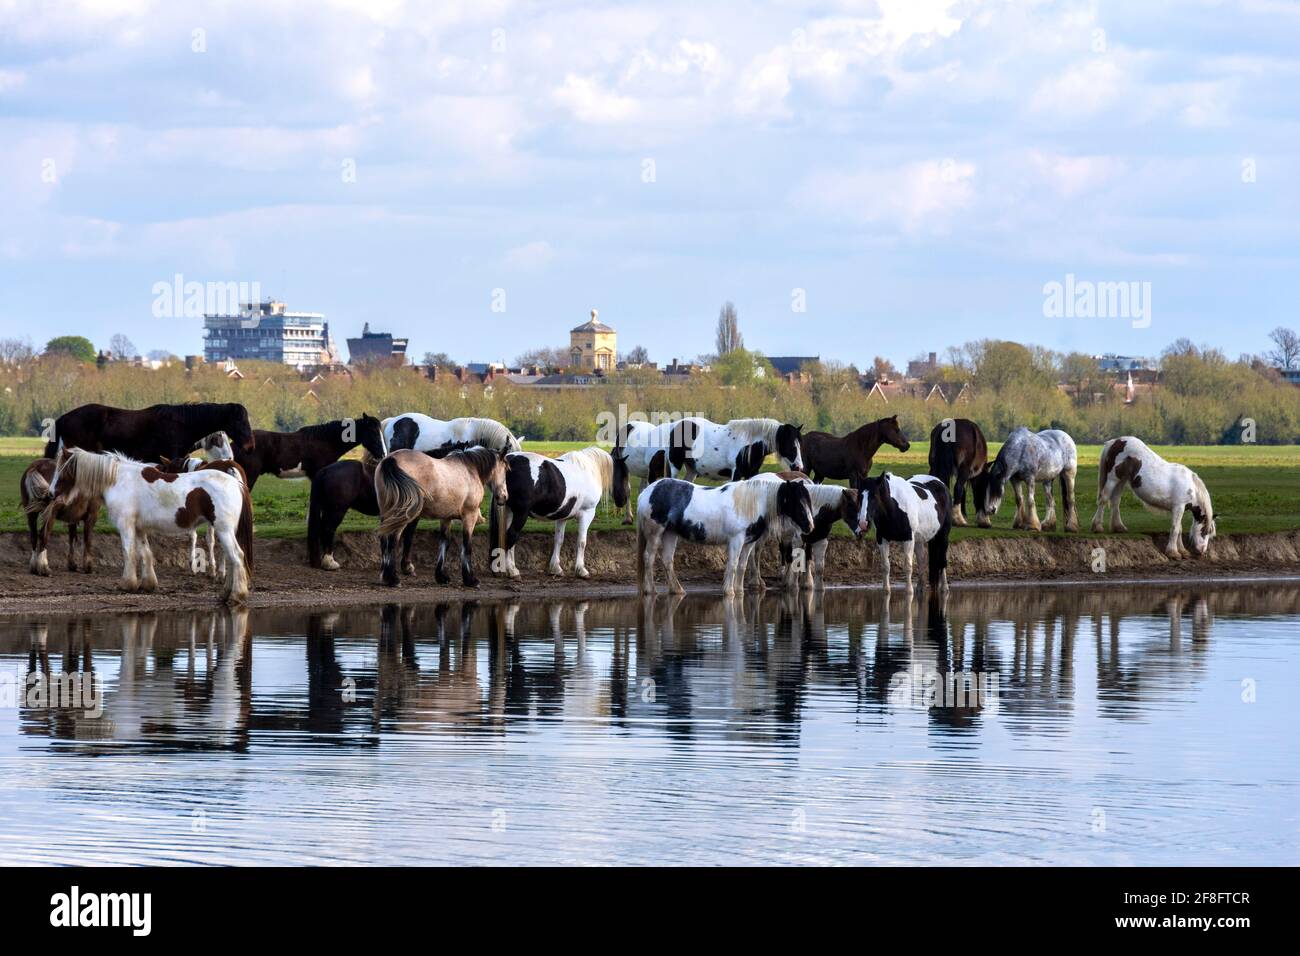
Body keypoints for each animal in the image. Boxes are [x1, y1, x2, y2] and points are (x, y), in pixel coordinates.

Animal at [44, 448, 253, 603]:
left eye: (61, 470)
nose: (50, 493)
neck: (119, 480)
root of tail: (235, 482)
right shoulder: (139, 528)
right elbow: (145, 553)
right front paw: (147, 584)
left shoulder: (126, 525)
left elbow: (128, 552)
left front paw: (127, 584)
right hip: (226, 531)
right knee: (231, 558)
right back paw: (225, 593)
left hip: (224, 530)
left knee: (237, 556)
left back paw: (236, 596)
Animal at [373, 446, 510, 588]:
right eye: (506, 469)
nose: (504, 496)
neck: (470, 469)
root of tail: (390, 459)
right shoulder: (469, 517)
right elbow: (467, 546)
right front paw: (470, 579)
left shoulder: (446, 518)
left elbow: (445, 543)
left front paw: (441, 576)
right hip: (402, 516)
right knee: (392, 541)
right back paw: (392, 578)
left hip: (387, 513)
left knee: (384, 540)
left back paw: (385, 575)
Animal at [488, 446, 629, 579]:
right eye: (624, 475)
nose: (624, 500)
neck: (589, 469)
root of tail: (509, 459)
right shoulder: (587, 513)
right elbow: (581, 541)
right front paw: (581, 570)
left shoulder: (562, 517)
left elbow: (558, 540)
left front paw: (556, 568)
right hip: (520, 514)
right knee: (511, 535)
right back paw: (512, 571)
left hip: (508, 511)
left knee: (504, 536)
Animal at [635, 476, 815, 597]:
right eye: (797, 502)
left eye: (808, 501)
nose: (810, 526)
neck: (753, 503)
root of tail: (647, 492)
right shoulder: (736, 540)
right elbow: (733, 564)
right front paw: (729, 591)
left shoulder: (748, 542)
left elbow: (742, 566)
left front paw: (739, 591)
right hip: (655, 533)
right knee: (648, 558)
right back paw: (650, 590)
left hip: (670, 533)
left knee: (667, 560)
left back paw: (677, 590)